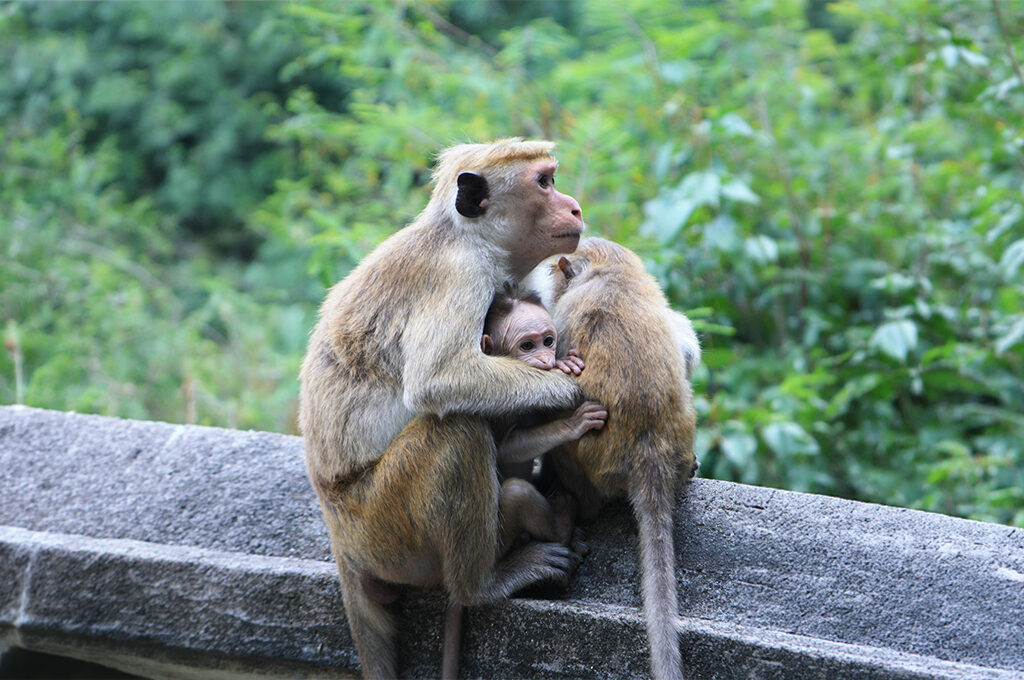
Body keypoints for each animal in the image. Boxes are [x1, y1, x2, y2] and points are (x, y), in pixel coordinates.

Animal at [299, 139, 588, 679]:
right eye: (544, 182)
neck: (470, 238)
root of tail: (340, 537)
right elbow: (440, 378)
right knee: (457, 431)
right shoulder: (459, 275)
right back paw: (483, 584)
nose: (576, 207)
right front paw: (566, 392)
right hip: (384, 529)